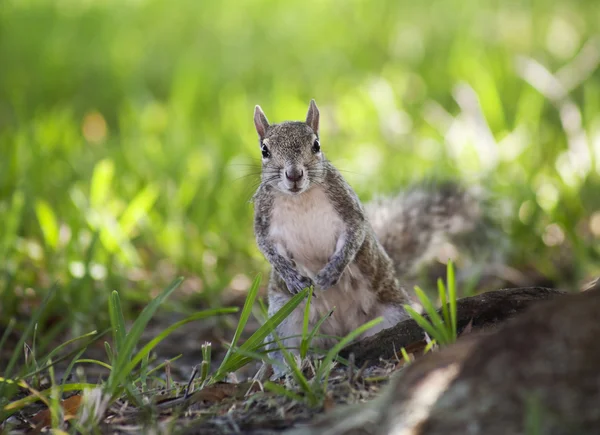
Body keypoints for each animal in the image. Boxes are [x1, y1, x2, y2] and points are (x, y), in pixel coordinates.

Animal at [252, 100, 492, 372]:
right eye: (264, 150)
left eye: (316, 145)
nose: (294, 175)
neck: (299, 198)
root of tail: (341, 332)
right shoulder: (263, 220)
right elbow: (267, 249)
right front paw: (291, 276)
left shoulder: (348, 209)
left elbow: (354, 237)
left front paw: (331, 272)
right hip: (286, 320)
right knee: (286, 348)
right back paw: (288, 370)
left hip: (391, 316)